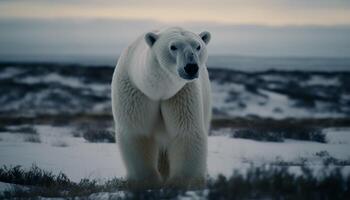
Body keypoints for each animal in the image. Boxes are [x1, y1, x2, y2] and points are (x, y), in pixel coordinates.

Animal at [111, 27, 211, 189]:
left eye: (198, 46)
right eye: (173, 47)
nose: (191, 67)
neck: (158, 90)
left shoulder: (180, 94)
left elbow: (186, 131)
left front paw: (181, 181)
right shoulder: (135, 91)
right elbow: (137, 132)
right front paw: (145, 181)